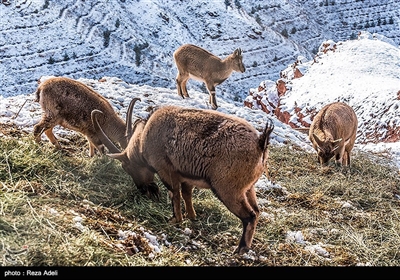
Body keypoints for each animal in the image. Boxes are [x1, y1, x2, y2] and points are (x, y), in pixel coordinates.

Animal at [93, 98, 276, 254]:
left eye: (127, 167)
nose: (143, 190)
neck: (145, 138)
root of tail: (260, 143)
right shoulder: (186, 177)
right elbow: (187, 194)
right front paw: (191, 216)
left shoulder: (165, 170)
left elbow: (174, 193)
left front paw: (175, 220)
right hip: (248, 189)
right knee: (257, 211)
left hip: (228, 189)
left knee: (249, 216)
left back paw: (241, 249)